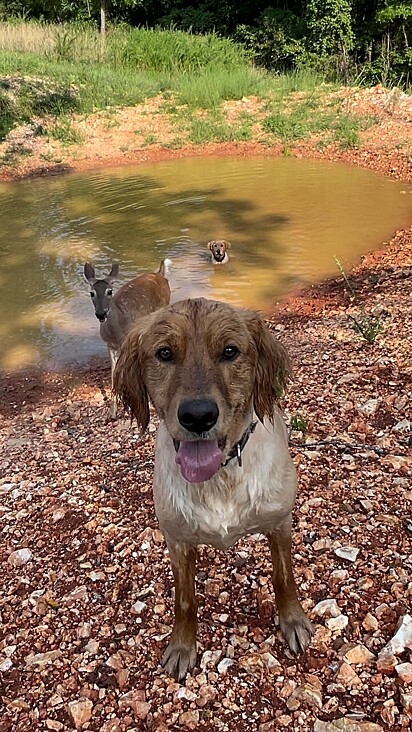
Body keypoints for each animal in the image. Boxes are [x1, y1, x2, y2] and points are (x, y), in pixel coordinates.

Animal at [84, 258, 171, 418]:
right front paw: (112, 413)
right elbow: (114, 375)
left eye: (109, 291)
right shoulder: (110, 346)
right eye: (92, 293)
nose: (101, 313)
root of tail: (160, 274)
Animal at [113, 296, 312, 680]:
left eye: (230, 351)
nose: (198, 416)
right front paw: (181, 646)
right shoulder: (176, 540)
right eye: (164, 353)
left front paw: (293, 621)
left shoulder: (279, 523)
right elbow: (185, 601)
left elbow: (284, 578)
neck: (219, 476)